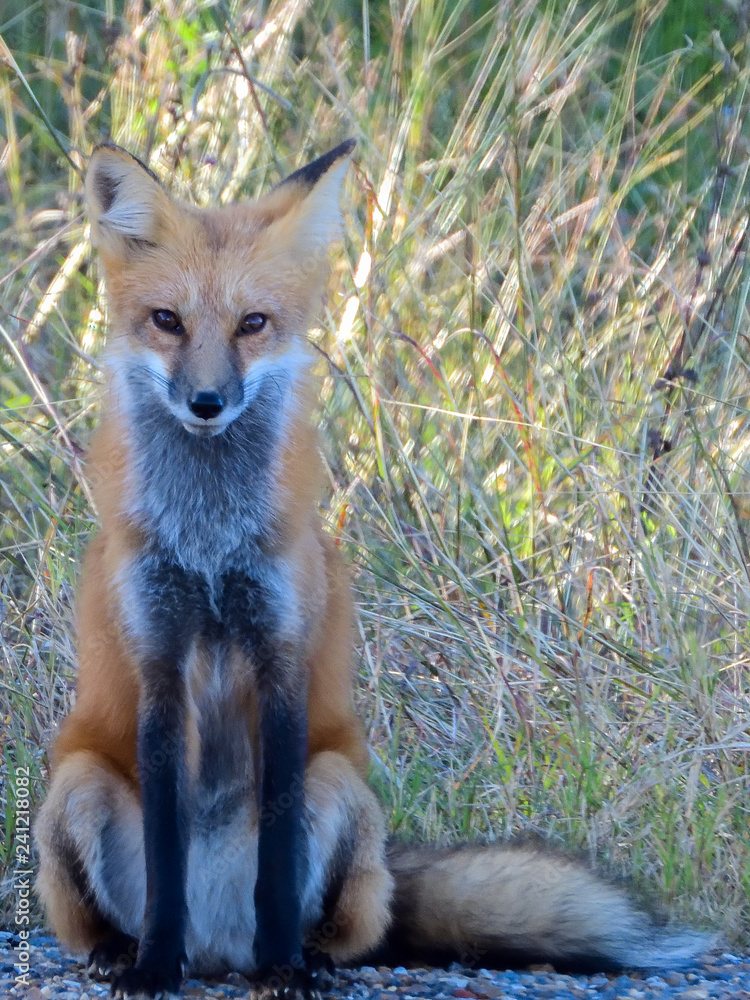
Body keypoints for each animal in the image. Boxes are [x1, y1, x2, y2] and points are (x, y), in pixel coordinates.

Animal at [34, 140, 711, 1000]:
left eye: (253, 324)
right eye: (167, 321)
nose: (207, 403)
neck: (211, 544)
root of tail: (217, 951)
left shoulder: (282, 657)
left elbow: (277, 860)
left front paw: (284, 969)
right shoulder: (155, 659)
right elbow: (163, 856)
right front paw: (154, 966)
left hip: (339, 785)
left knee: (349, 927)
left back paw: (300, 956)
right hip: (77, 784)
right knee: (113, 908)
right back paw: (125, 951)